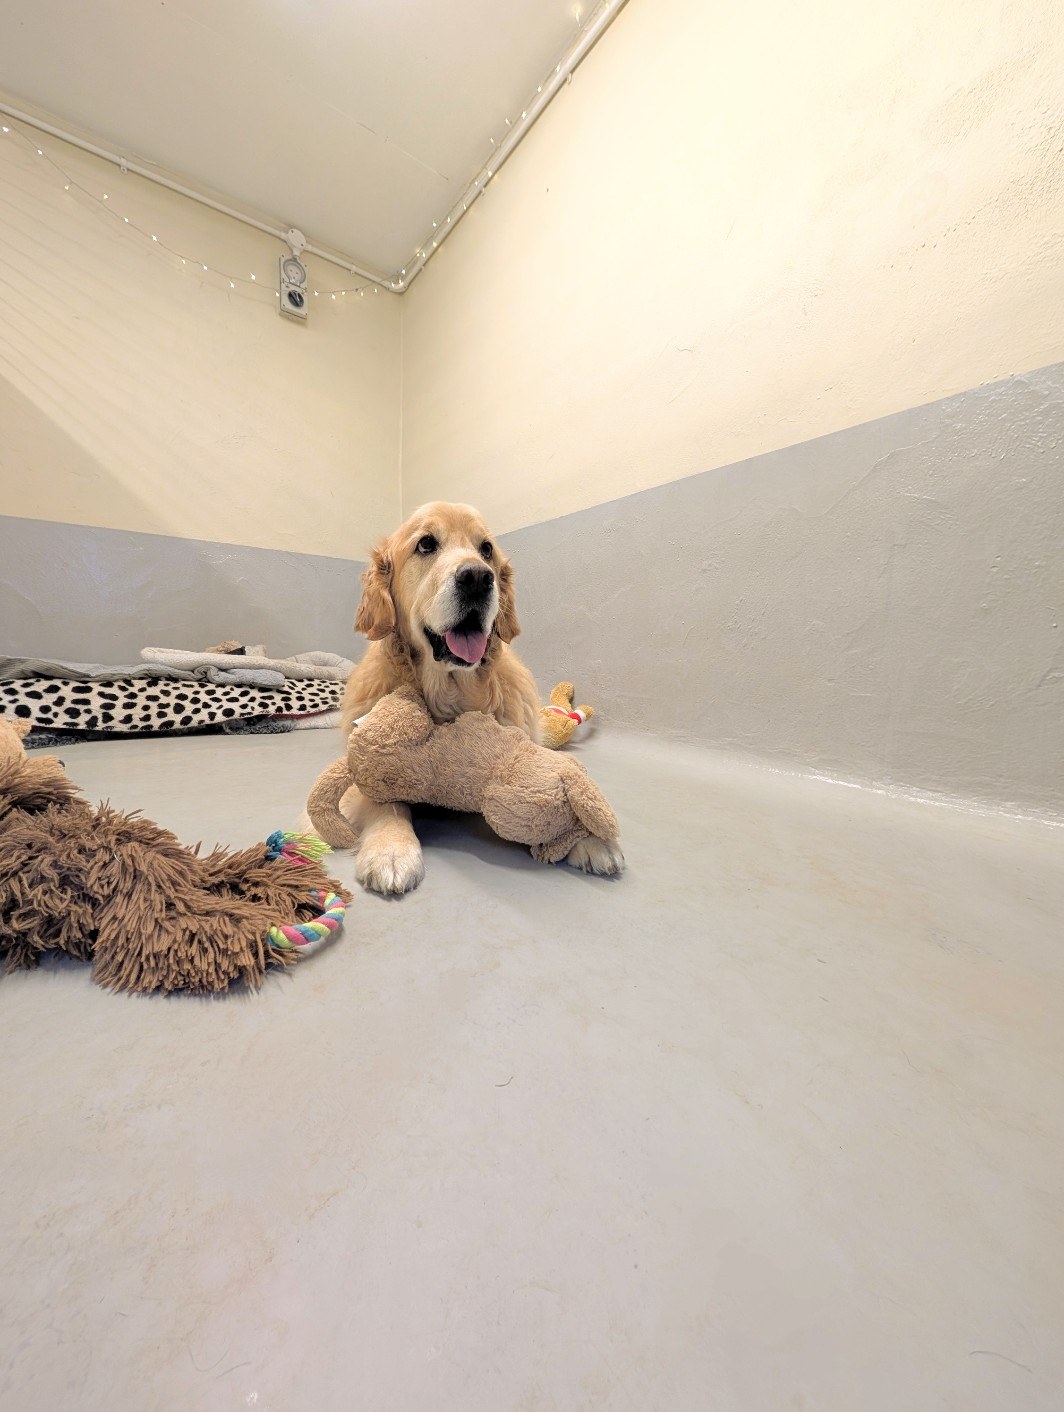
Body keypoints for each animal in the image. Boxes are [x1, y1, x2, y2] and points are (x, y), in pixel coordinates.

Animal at [339, 501, 624, 894]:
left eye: (486, 549)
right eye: (426, 544)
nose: (477, 577)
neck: (451, 691)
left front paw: (592, 839)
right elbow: (385, 801)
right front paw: (391, 849)